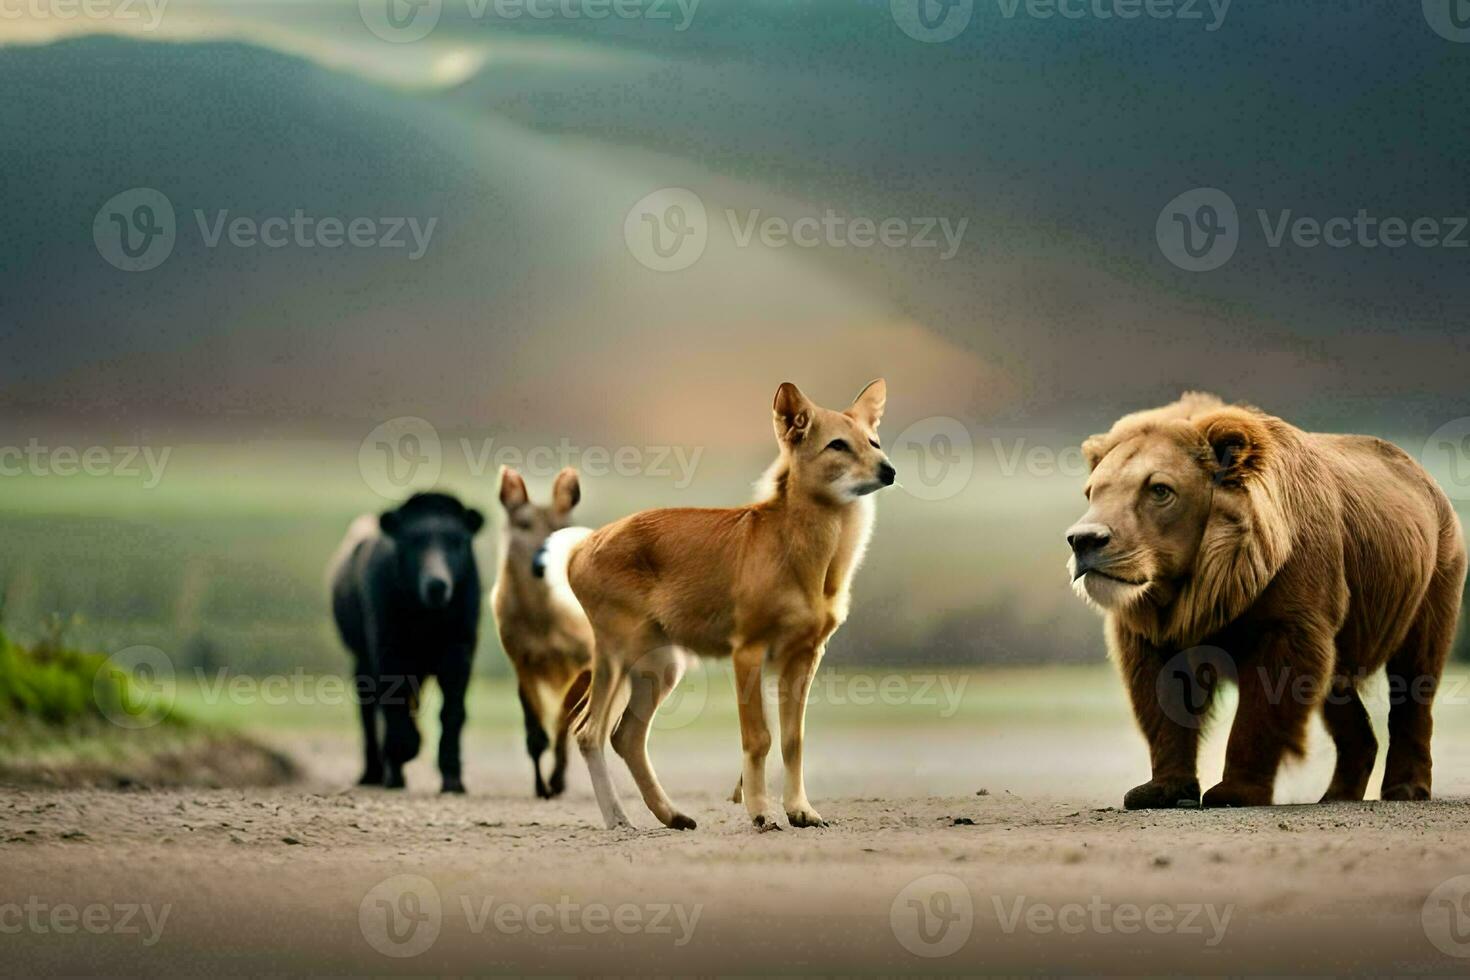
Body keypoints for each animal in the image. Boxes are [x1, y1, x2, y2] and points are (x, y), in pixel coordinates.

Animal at [1076, 393, 1464, 811]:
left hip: (1431, 580)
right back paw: (1337, 793)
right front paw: (1159, 789)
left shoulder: (1288, 609)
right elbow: (1162, 693)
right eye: (1093, 490)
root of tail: (1424, 476)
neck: (1211, 586)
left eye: (1159, 489)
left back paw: (1406, 787)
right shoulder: (1157, 625)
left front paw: (1233, 790)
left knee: (1414, 677)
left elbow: (1271, 693)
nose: (1084, 540)